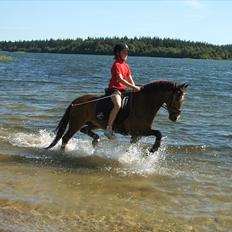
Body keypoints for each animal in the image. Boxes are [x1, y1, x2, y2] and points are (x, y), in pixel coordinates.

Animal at [45, 80, 188, 153]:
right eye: (177, 97)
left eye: (183, 98)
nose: (175, 117)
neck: (144, 103)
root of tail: (76, 101)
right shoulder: (139, 130)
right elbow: (158, 133)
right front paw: (153, 149)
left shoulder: (137, 134)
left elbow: (135, 144)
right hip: (76, 122)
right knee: (66, 138)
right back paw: (63, 152)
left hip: (94, 123)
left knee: (85, 130)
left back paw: (96, 140)